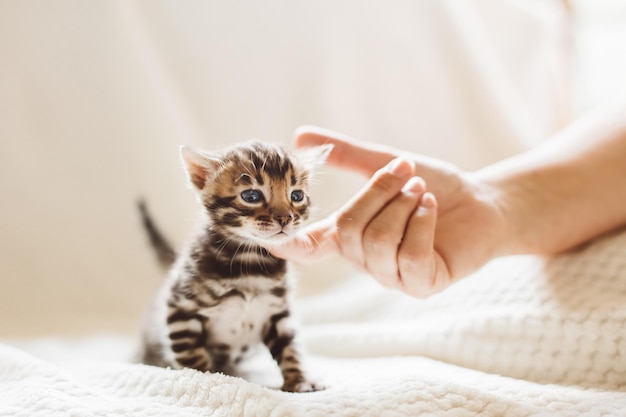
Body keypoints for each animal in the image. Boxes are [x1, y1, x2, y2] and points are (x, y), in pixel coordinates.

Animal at [138, 141, 332, 392]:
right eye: (251, 195)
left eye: (296, 195)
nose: (285, 218)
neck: (250, 262)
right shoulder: (181, 310)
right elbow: (192, 356)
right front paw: (206, 379)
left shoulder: (278, 312)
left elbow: (291, 347)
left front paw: (299, 380)